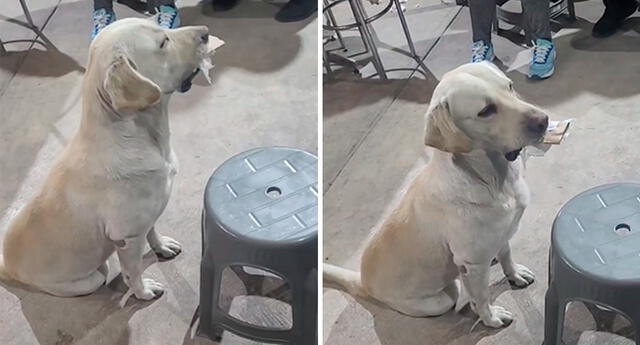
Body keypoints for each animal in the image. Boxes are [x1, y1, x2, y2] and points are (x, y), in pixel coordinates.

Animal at [0, 17, 224, 300]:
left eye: (162, 25)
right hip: (92, 278)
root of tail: (6, 266)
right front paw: (143, 292)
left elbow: (153, 233)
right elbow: (133, 271)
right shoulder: (128, 238)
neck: (146, 136)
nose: (206, 32)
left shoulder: (147, 220)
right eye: (164, 42)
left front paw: (162, 246)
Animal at [324, 61, 552, 328]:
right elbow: (481, 296)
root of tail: (362, 282)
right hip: (443, 297)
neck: (492, 179)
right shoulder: (471, 263)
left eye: (510, 86)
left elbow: (506, 255)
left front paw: (514, 274)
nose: (543, 120)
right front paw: (491, 318)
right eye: (486, 110)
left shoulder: (502, 234)